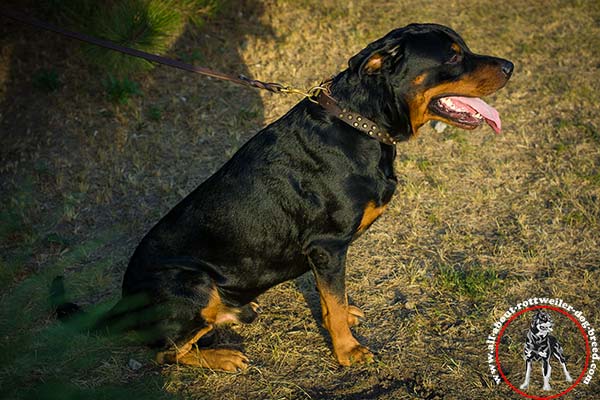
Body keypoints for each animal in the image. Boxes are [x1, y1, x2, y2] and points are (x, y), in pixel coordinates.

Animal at [52, 23, 510, 370]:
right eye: (452, 57)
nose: (510, 65)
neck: (360, 124)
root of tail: (121, 304)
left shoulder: (325, 254)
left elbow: (332, 299)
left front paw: (343, 316)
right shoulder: (327, 245)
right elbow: (333, 300)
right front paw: (348, 351)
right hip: (191, 281)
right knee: (167, 353)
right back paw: (223, 357)